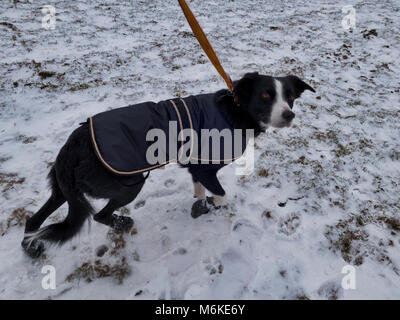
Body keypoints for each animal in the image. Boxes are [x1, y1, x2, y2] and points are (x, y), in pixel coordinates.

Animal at [21, 72, 316, 258]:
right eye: (266, 95)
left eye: (290, 96)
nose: (289, 114)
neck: (235, 110)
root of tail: (75, 143)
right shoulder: (206, 168)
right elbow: (221, 194)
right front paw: (213, 205)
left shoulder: (197, 167)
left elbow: (199, 189)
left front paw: (200, 204)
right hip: (129, 183)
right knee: (99, 215)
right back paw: (122, 223)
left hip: (64, 189)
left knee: (34, 219)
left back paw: (31, 248)